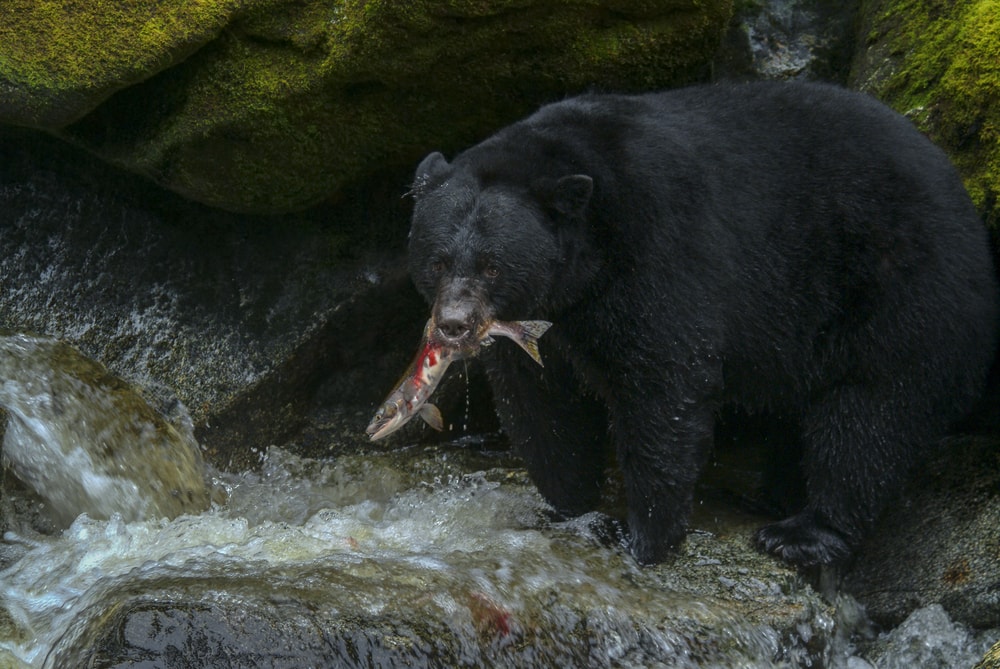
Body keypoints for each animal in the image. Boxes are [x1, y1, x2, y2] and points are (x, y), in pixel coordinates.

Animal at [405, 81, 1000, 567]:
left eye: (492, 265)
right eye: (437, 261)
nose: (454, 325)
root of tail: (968, 210)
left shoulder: (659, 247)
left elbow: (664, 384)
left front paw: (646, 537)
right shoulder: (541, 323)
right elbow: (541, 403)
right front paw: (566, 508)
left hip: (897, 287)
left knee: (871, 413)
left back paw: (801, 531)